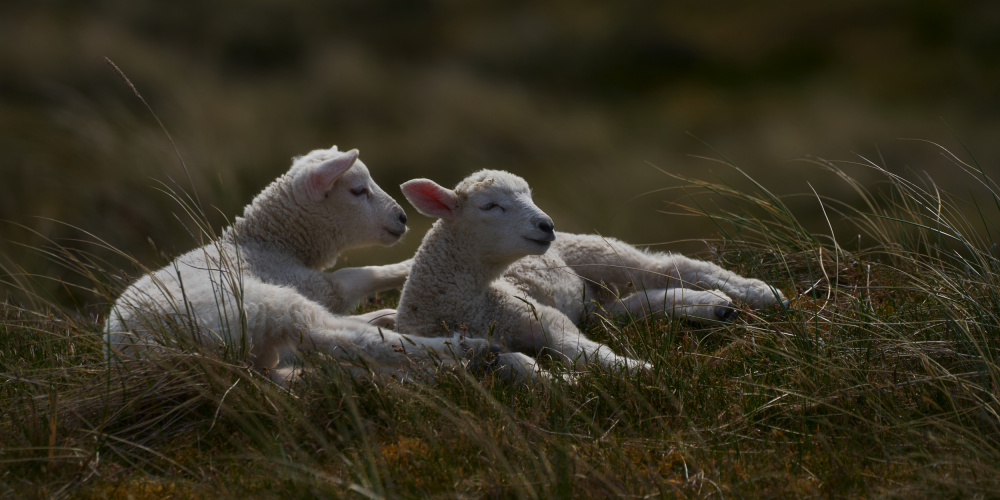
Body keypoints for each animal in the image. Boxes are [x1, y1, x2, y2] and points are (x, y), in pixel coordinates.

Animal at [104, 145, 488, 382]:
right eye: (358, 190)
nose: (403, 218)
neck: (266, 242)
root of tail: (135, 351)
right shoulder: (310, 283)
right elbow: (358, 276)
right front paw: (408, 266)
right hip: (263, 303)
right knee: (342, 337)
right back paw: (465, 347)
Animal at [394, 170, 784, 380]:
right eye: (490, 205)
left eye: (529, 195)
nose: (546, 225)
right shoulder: (476, 348)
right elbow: (522, 363)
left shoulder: (535, 313)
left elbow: (576, 347)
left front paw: (633, 368)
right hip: (594, 300)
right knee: (632, 306)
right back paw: (715, 307)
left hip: (600, 253)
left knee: (670, 267)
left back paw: (762, 292)